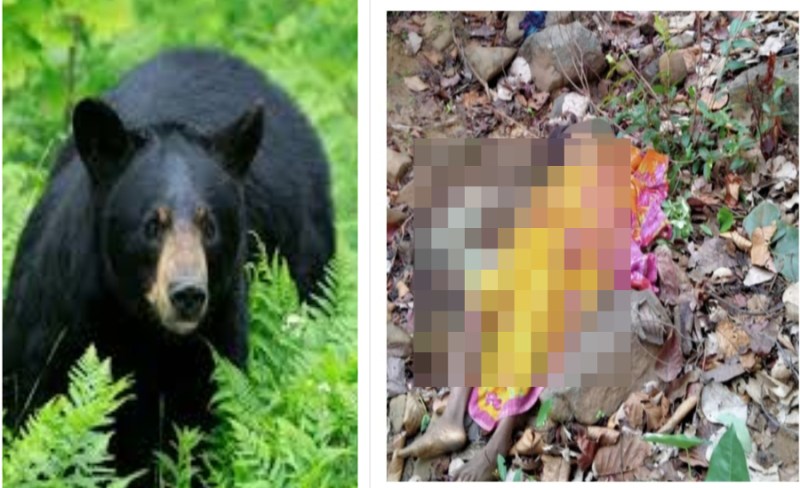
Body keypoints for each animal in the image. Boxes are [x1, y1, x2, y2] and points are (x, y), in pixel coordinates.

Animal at [2, 48, 334, 483]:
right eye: (152, 224)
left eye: (209, 224)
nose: (187, 294)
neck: (141, 330)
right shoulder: (55, 322)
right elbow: (34, 406)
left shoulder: (214, 347)